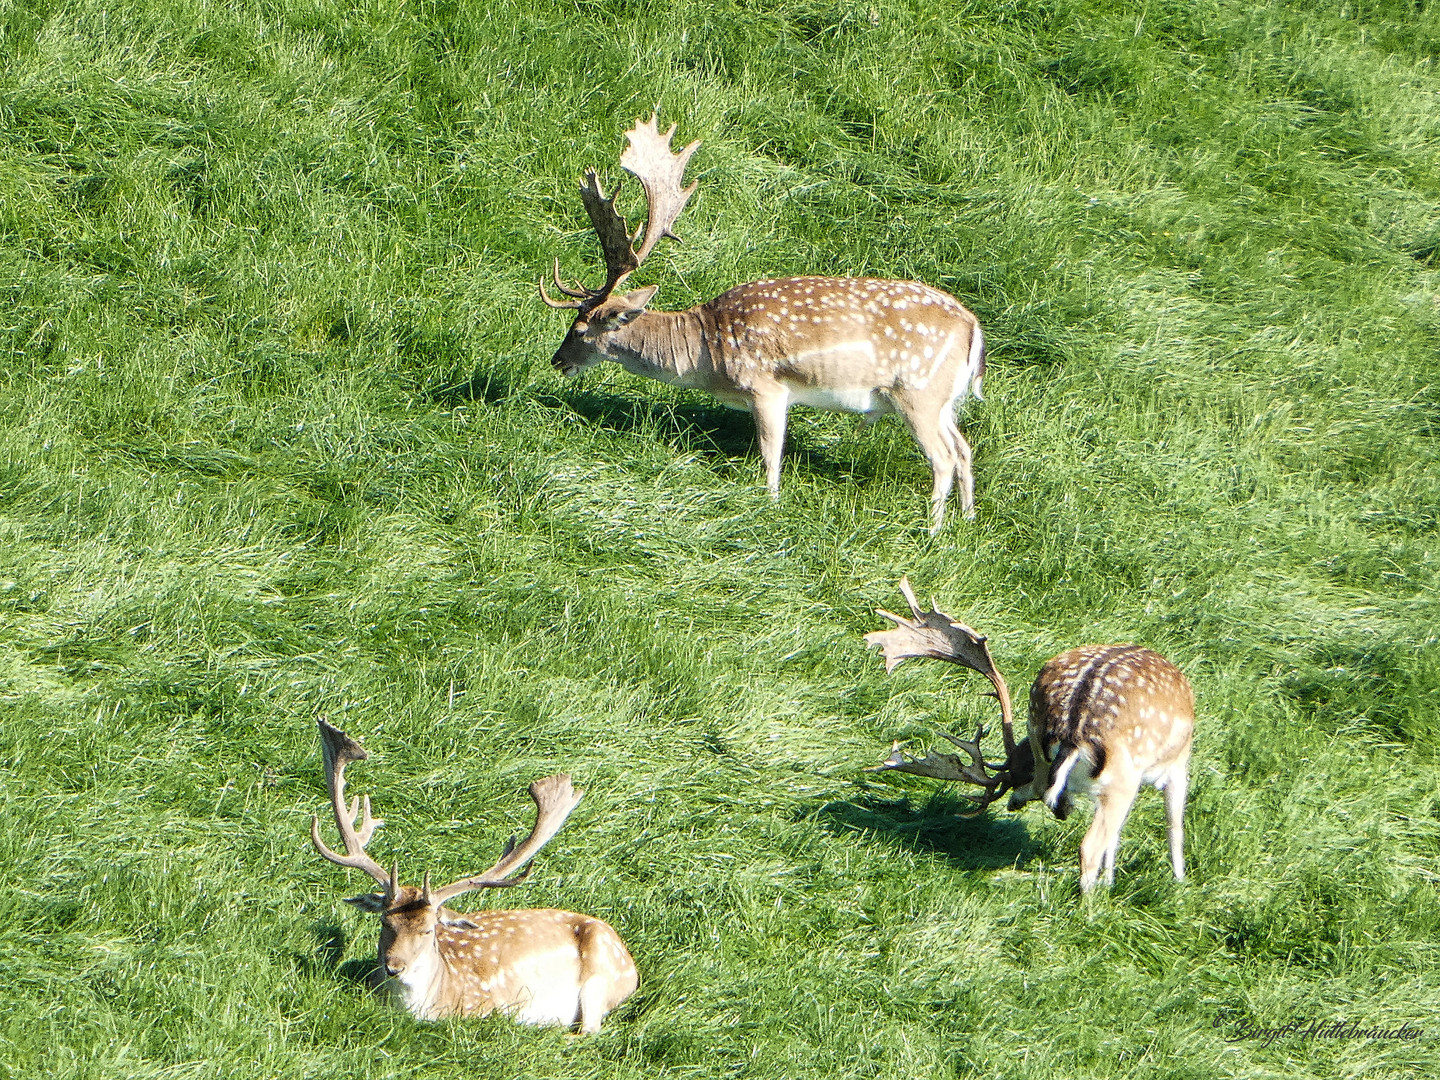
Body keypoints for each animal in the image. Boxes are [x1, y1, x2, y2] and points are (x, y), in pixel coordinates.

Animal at [308, 720, 636, 1031]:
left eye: (428, 930)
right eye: (385, 922)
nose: (394, 967)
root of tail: (628, 958)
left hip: (602, 976)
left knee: (589, 1029)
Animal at [541, 115, 990, 532]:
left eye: (579, 330)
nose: (557, 360)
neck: (708, 355)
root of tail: (973, 328)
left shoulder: (766, 387)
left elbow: (770, 455)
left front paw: (770, 505)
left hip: (917, 393)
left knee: (944, 457)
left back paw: (932, 527)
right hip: (943, 401)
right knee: (964, 449)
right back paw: (968, 519)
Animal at [864, 584, 1192, 898]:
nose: (1012, 803)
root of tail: (1072, 733)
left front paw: (1110, 881)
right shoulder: (1178, 763)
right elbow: (1174, 826)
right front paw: (1179, 886)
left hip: (1041, 737)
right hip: (1123, 779)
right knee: (1089, 846)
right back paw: (1091, 908)